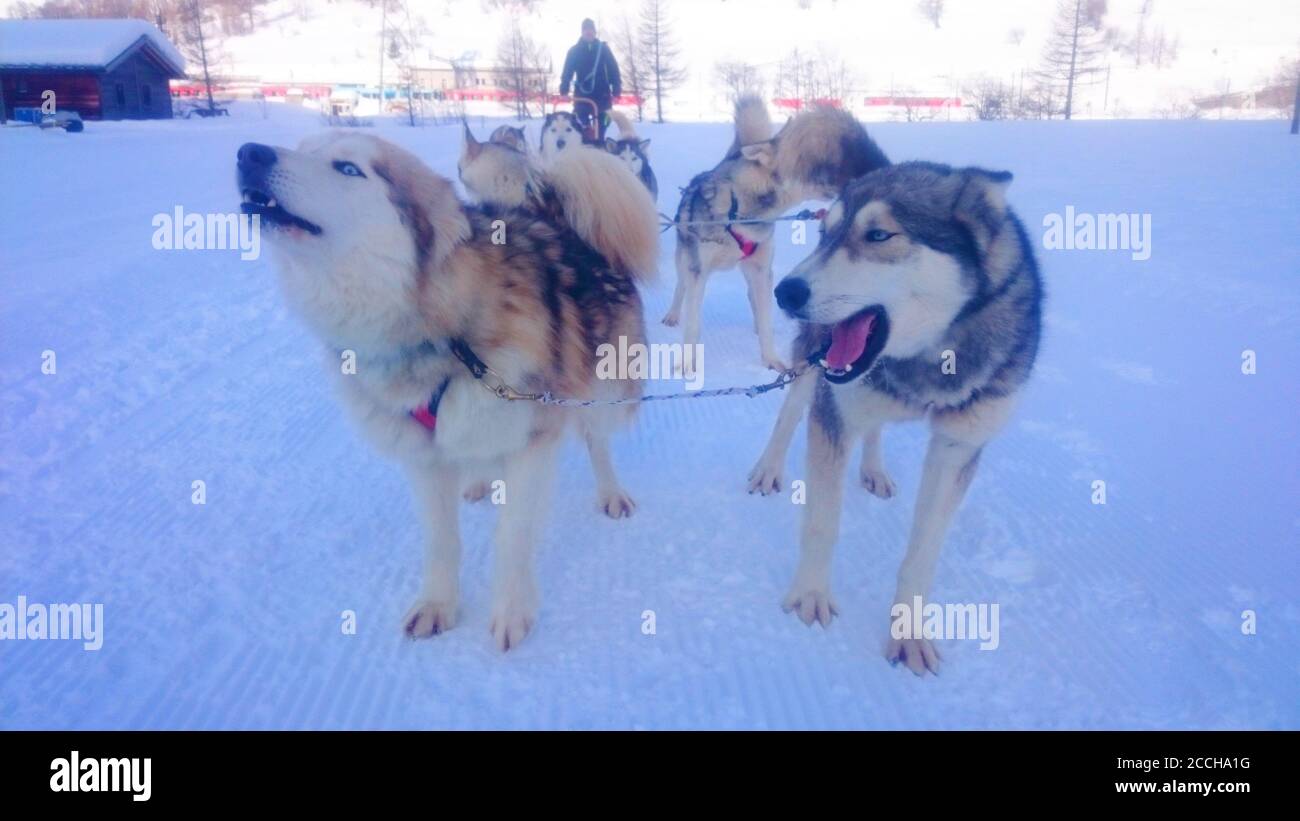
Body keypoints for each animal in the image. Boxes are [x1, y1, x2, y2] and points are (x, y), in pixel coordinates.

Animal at [236, 133, 660, 646]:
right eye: (302, 147)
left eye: (349, 168)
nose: (250, 153)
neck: (444, 334)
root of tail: (556, 216)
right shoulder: (422, 455)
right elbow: (441, 541)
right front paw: (438, 604)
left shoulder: (533, 438)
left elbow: (512, 534)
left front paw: (512, 610)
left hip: (602, 388)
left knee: (598, 440)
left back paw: (611, 492)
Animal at [665, 96, 889, 374]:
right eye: (810, 157)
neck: (739, 211)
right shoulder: (698, 271)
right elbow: (693, 323)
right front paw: (686, 364)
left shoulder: (762, 270)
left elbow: (766, 321)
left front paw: (771, 359)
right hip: (684, 260)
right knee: (681, 286)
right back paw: (672, 314)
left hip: (753, 269)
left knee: (752, 297)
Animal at [759, 160, 1045, 675]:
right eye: (825, 235)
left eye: (878, 234)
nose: (784, 291)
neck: (926, 363)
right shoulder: (834, 411)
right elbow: (821, 523)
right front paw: (810, 595)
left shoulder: (957, 448)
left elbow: (922, 554)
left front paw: (909, 632)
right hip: (812, 368)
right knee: (790, 413)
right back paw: (768, 468)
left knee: (874, 428)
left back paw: (874, 469)